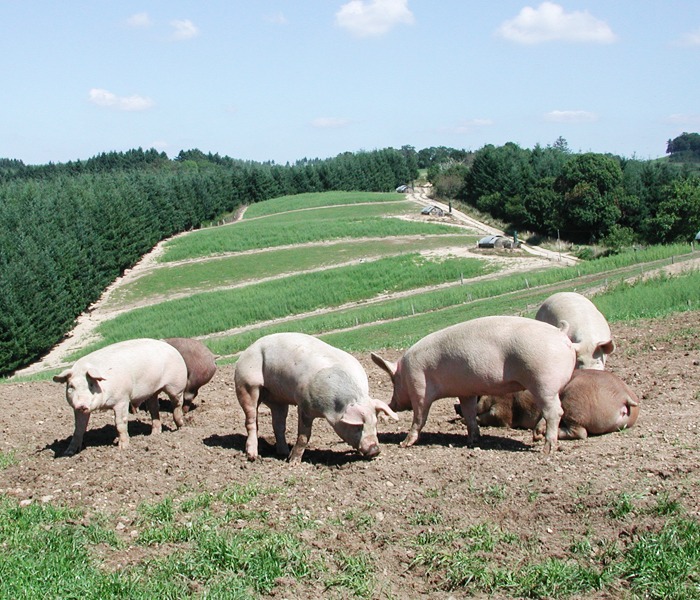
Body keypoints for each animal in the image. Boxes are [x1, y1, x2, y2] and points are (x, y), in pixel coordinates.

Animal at [52, 338, 187, 454]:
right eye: (71, 387)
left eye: (91, 385)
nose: (81, 405)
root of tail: (169, 346)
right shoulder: (78, 410)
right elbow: (78, 428)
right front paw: (69, 452)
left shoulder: (122, 399)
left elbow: (120, 423)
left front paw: (122, 448)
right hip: (152, 392)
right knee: (154, 408)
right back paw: (154, 435)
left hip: (176, 385)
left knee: (177, 403)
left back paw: (181, 426)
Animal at [235, 332, 400, 464]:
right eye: (358, 426)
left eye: (376, 423)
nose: (375, 450)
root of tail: (247, 350)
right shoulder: (304, 405)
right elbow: (304, 436)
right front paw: (294, 462)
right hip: (246, 384)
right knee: (251, 421)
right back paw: (253, 456)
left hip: (278, 399)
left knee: (278, 425)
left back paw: (283, 453)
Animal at [372, 316, 576, 452]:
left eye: (393, 380)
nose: (391, 404)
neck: (405, 372)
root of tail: (560, 334)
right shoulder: (466, 392)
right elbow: (469, 413)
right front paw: (472, 441)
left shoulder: (419, 388)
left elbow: (419, 417)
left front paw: (403, 444)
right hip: (551, 387)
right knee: (550, 412)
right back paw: (538, 437)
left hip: (543, 381)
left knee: (554, 412)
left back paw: (547, 449)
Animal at [476, 368, 640, 438]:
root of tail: (623, 395)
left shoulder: (504, 410)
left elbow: (496, 416)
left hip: (574, 399)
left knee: (581, 432)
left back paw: (539, 433)